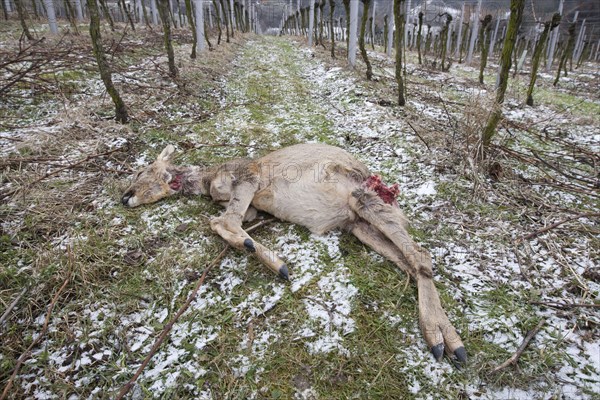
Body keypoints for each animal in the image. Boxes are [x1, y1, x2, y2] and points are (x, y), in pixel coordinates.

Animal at [122, 143, 466, 362]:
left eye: (141, 172)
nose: (125, 196)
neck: (209, 181)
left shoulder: (247, 175)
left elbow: (223, 220)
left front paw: (273, 261)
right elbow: (233, 218)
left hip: (362, 196)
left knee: (420, 254)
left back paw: (441, 339)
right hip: (357, 224)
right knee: (409, 262)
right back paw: (447, 339)